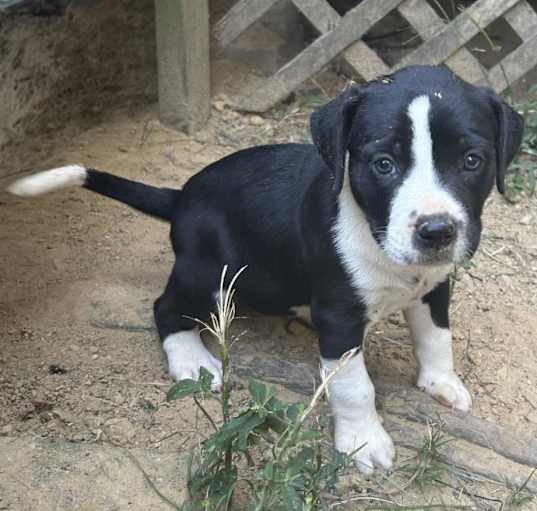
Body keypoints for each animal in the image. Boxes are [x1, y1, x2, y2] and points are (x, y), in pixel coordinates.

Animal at [6, 66, 520, 474]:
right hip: (211, 271)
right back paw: (191, 359)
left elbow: (436, 336)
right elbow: (354, 386)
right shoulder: (339, 316)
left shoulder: (435, 284)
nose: (437, 231)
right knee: (165, 307)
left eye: (472, 160)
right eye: (383, 164)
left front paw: (441, 383)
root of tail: (181, 197)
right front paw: (363, 442)